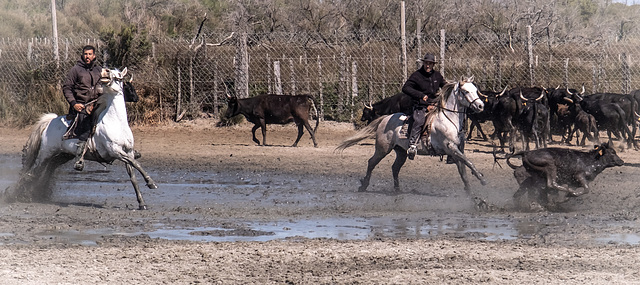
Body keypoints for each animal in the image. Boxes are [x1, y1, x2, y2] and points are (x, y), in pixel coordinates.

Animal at [6, 67, 158, 209]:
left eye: (118, 75)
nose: (105, 71)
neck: (116, 122)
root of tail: (51, 121)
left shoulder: (128, 151)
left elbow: (133, 174)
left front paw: (142, 203)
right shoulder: (115, 151)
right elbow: (136, 164)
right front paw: (151, 182)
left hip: (63, 155)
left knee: (48, 168)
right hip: (45, 153)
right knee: (33, 171)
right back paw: (20, 195)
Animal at [338, 76, 488, 193]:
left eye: (476, 90)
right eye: (465, 91)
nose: (481, 106)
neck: (449, 120)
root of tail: (385, 118)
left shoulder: (457, 150)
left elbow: (464, 170)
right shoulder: (450, 147)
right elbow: (468, 162)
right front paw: (481, 178)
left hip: (401, 151)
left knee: (395, 168)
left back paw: (397, 190)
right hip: (382, 149)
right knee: (371, 162)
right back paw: (363, 186)